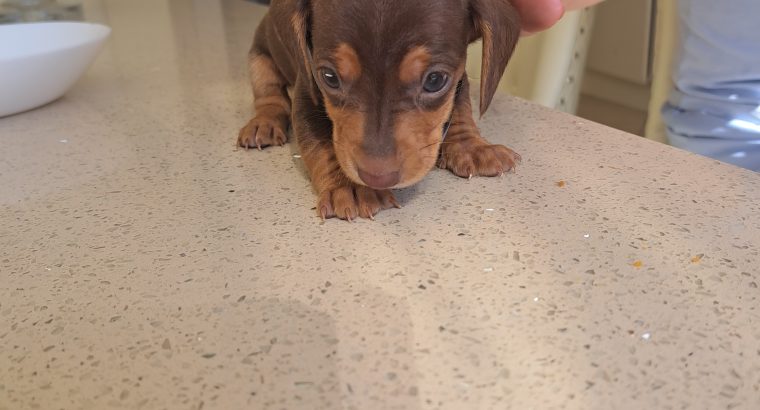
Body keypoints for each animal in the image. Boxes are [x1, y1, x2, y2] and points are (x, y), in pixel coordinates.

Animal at [240, 0, 520, 221]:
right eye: (330, 77)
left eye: (435, 80)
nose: (376, 178)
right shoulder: (307, 87)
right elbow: (319, 142)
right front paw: (349, 187)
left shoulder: (458, 79)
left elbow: (460, 108)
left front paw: (471, 146)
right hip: (259, 57)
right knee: (270, 95)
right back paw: (263, 123)